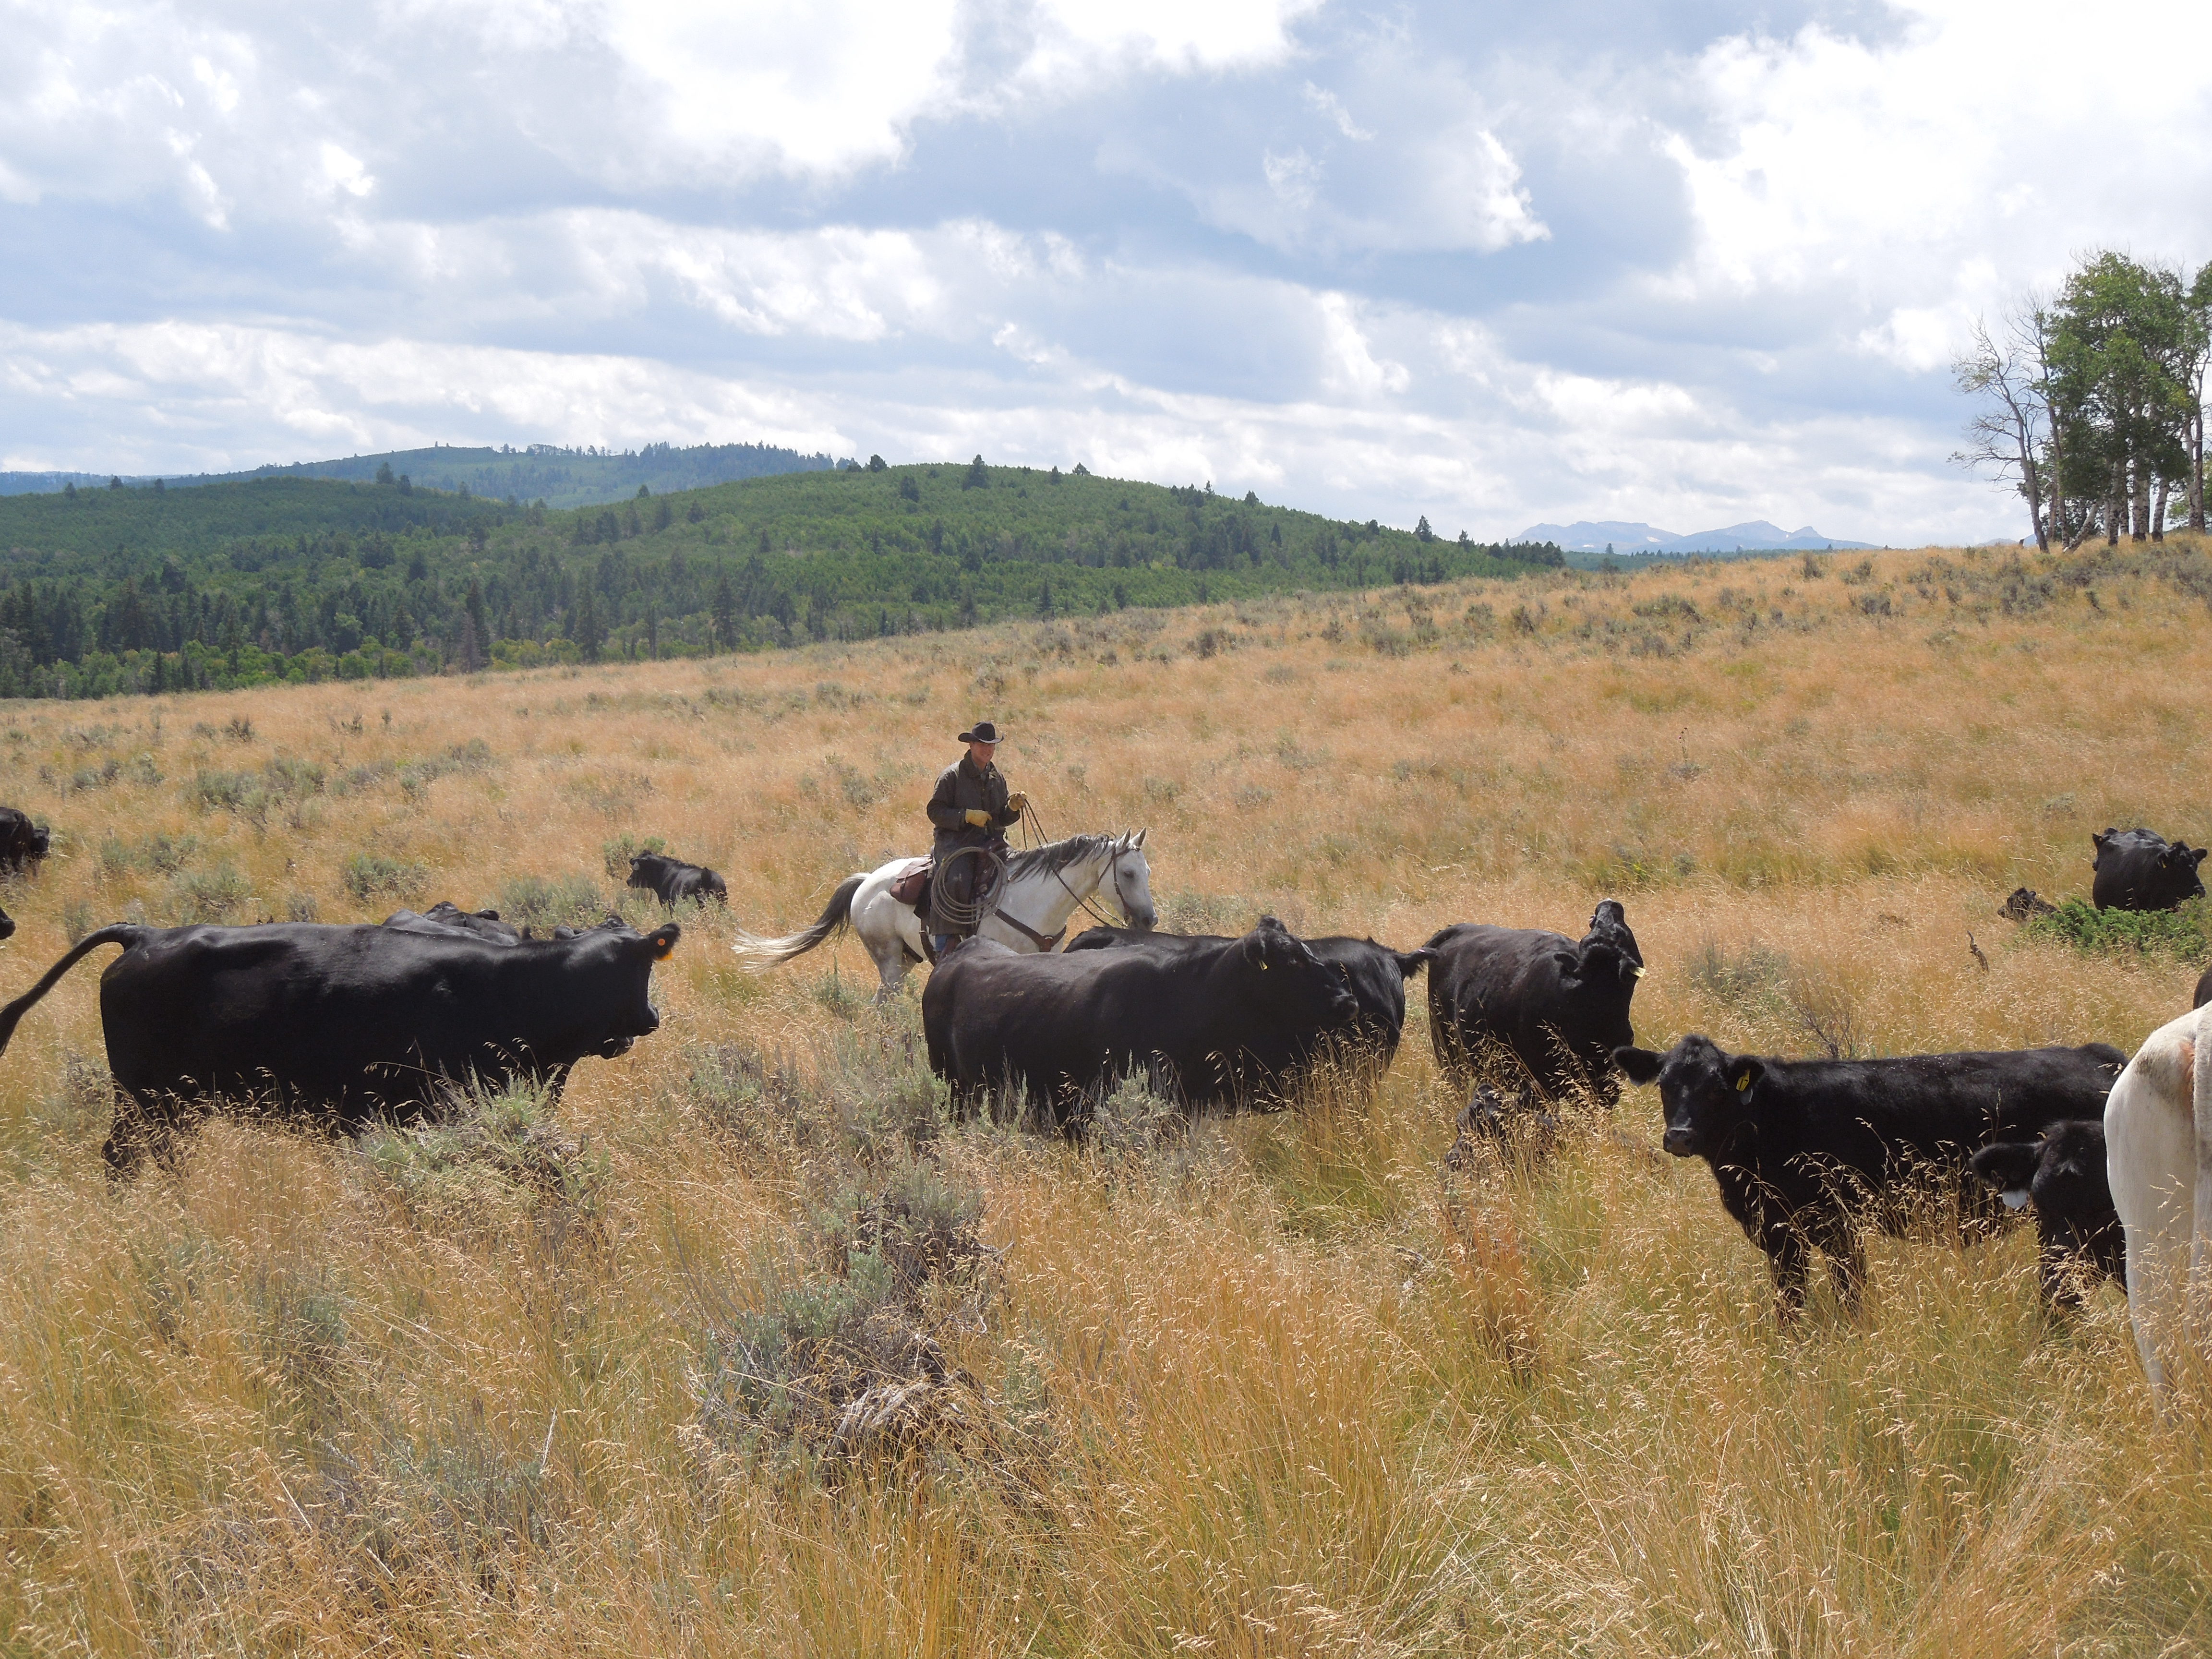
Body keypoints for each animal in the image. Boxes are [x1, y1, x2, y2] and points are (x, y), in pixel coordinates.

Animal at [0, 915, 680, 1174]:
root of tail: (145, 935)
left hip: (168, 1105)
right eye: (632, 968)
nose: (648, 1018)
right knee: (127, 1157)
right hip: (150, 1100)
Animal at [1426, 899, 1645, 1104]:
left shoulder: (1608, 1084)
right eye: (1591, 932)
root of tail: (1460, 928)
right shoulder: (1542, 1085)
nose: (1610, 904)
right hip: (1446, 1049)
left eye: (1620, 933)